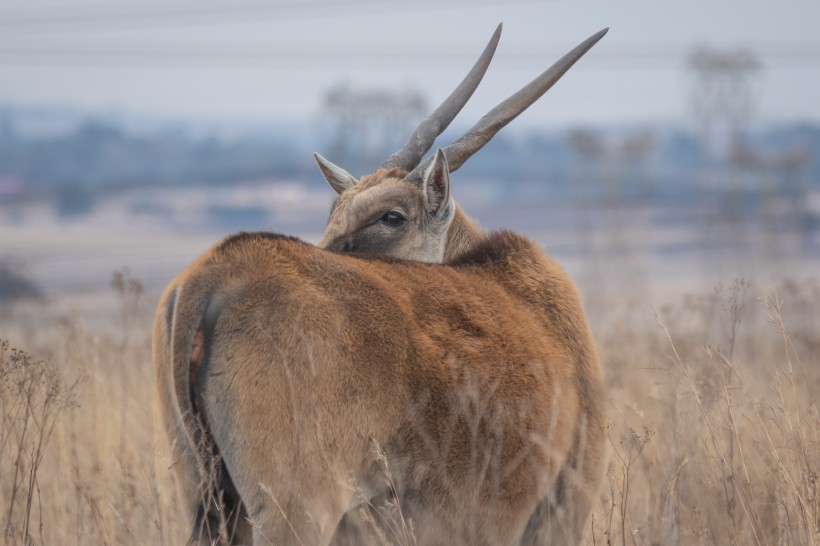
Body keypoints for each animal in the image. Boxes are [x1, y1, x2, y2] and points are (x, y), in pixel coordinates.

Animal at [155, 23, 608, 540]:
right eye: (334, 214)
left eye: (391, 216)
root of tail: (216, 269)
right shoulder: (561, 511)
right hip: (296, 511)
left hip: (208, 499)